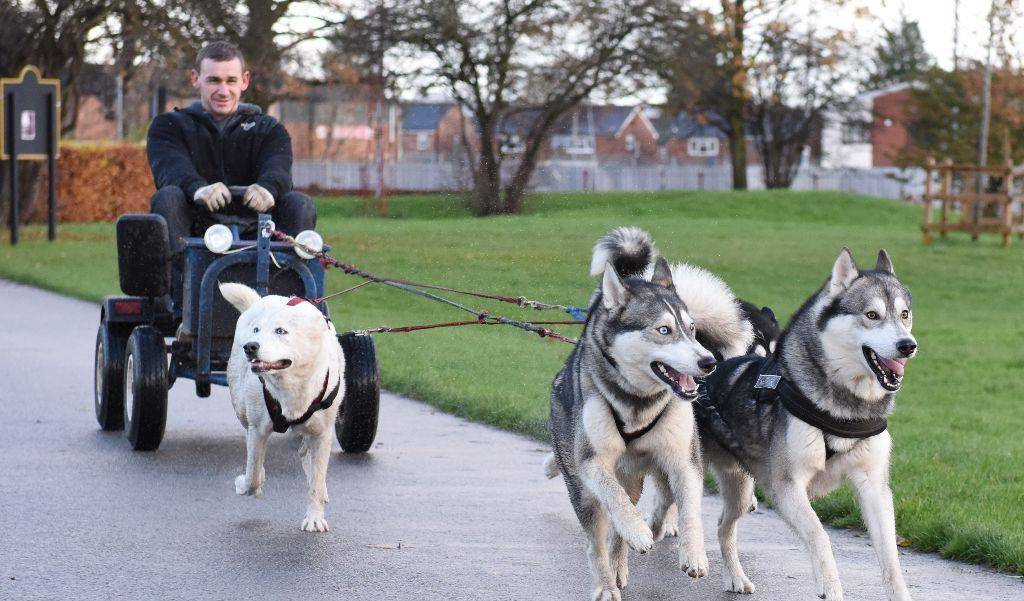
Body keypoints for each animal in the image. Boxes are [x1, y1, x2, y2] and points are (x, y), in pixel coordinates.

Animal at [218, 284, 346, 532]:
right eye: (256, 330)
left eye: (281, 331)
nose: (250, 347)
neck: (291, 385)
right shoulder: (258, 430)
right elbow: (253, 474)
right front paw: (246, 483)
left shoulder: (323, 433)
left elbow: (316, 481)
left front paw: (314, 517)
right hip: (241, 407)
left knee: (308, 456)